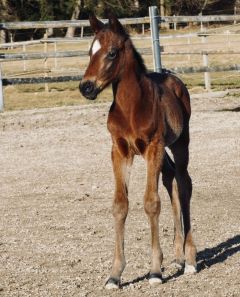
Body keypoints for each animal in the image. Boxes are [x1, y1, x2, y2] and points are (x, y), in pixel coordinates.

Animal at [79, 13, 196, 286]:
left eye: (112, 53)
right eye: (90, 51)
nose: (86, 87)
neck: (131, 107)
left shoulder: (153, 147)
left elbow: (151, 202)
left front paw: (154, 271)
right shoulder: (119, 151)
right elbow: (120, 205)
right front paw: (115, 274)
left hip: (179, 143)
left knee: (184, 183)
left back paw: (190, 259)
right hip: (162, 151)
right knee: (171, 178)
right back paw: (178, 256)